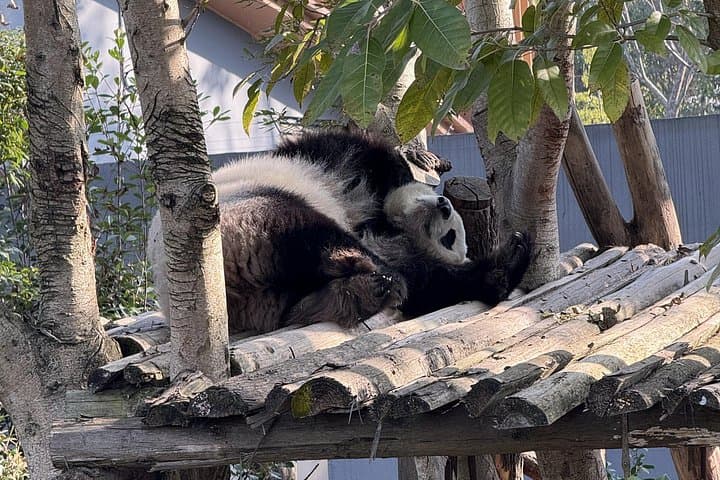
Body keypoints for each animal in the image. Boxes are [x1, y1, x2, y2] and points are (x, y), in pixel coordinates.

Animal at [148, 130, 531, 333]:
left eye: (449, 237)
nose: (444, 206)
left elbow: (429, 280)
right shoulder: (331, 161)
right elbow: (363, 154)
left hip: (269, 286)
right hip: (244, 211)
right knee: (306, 229)